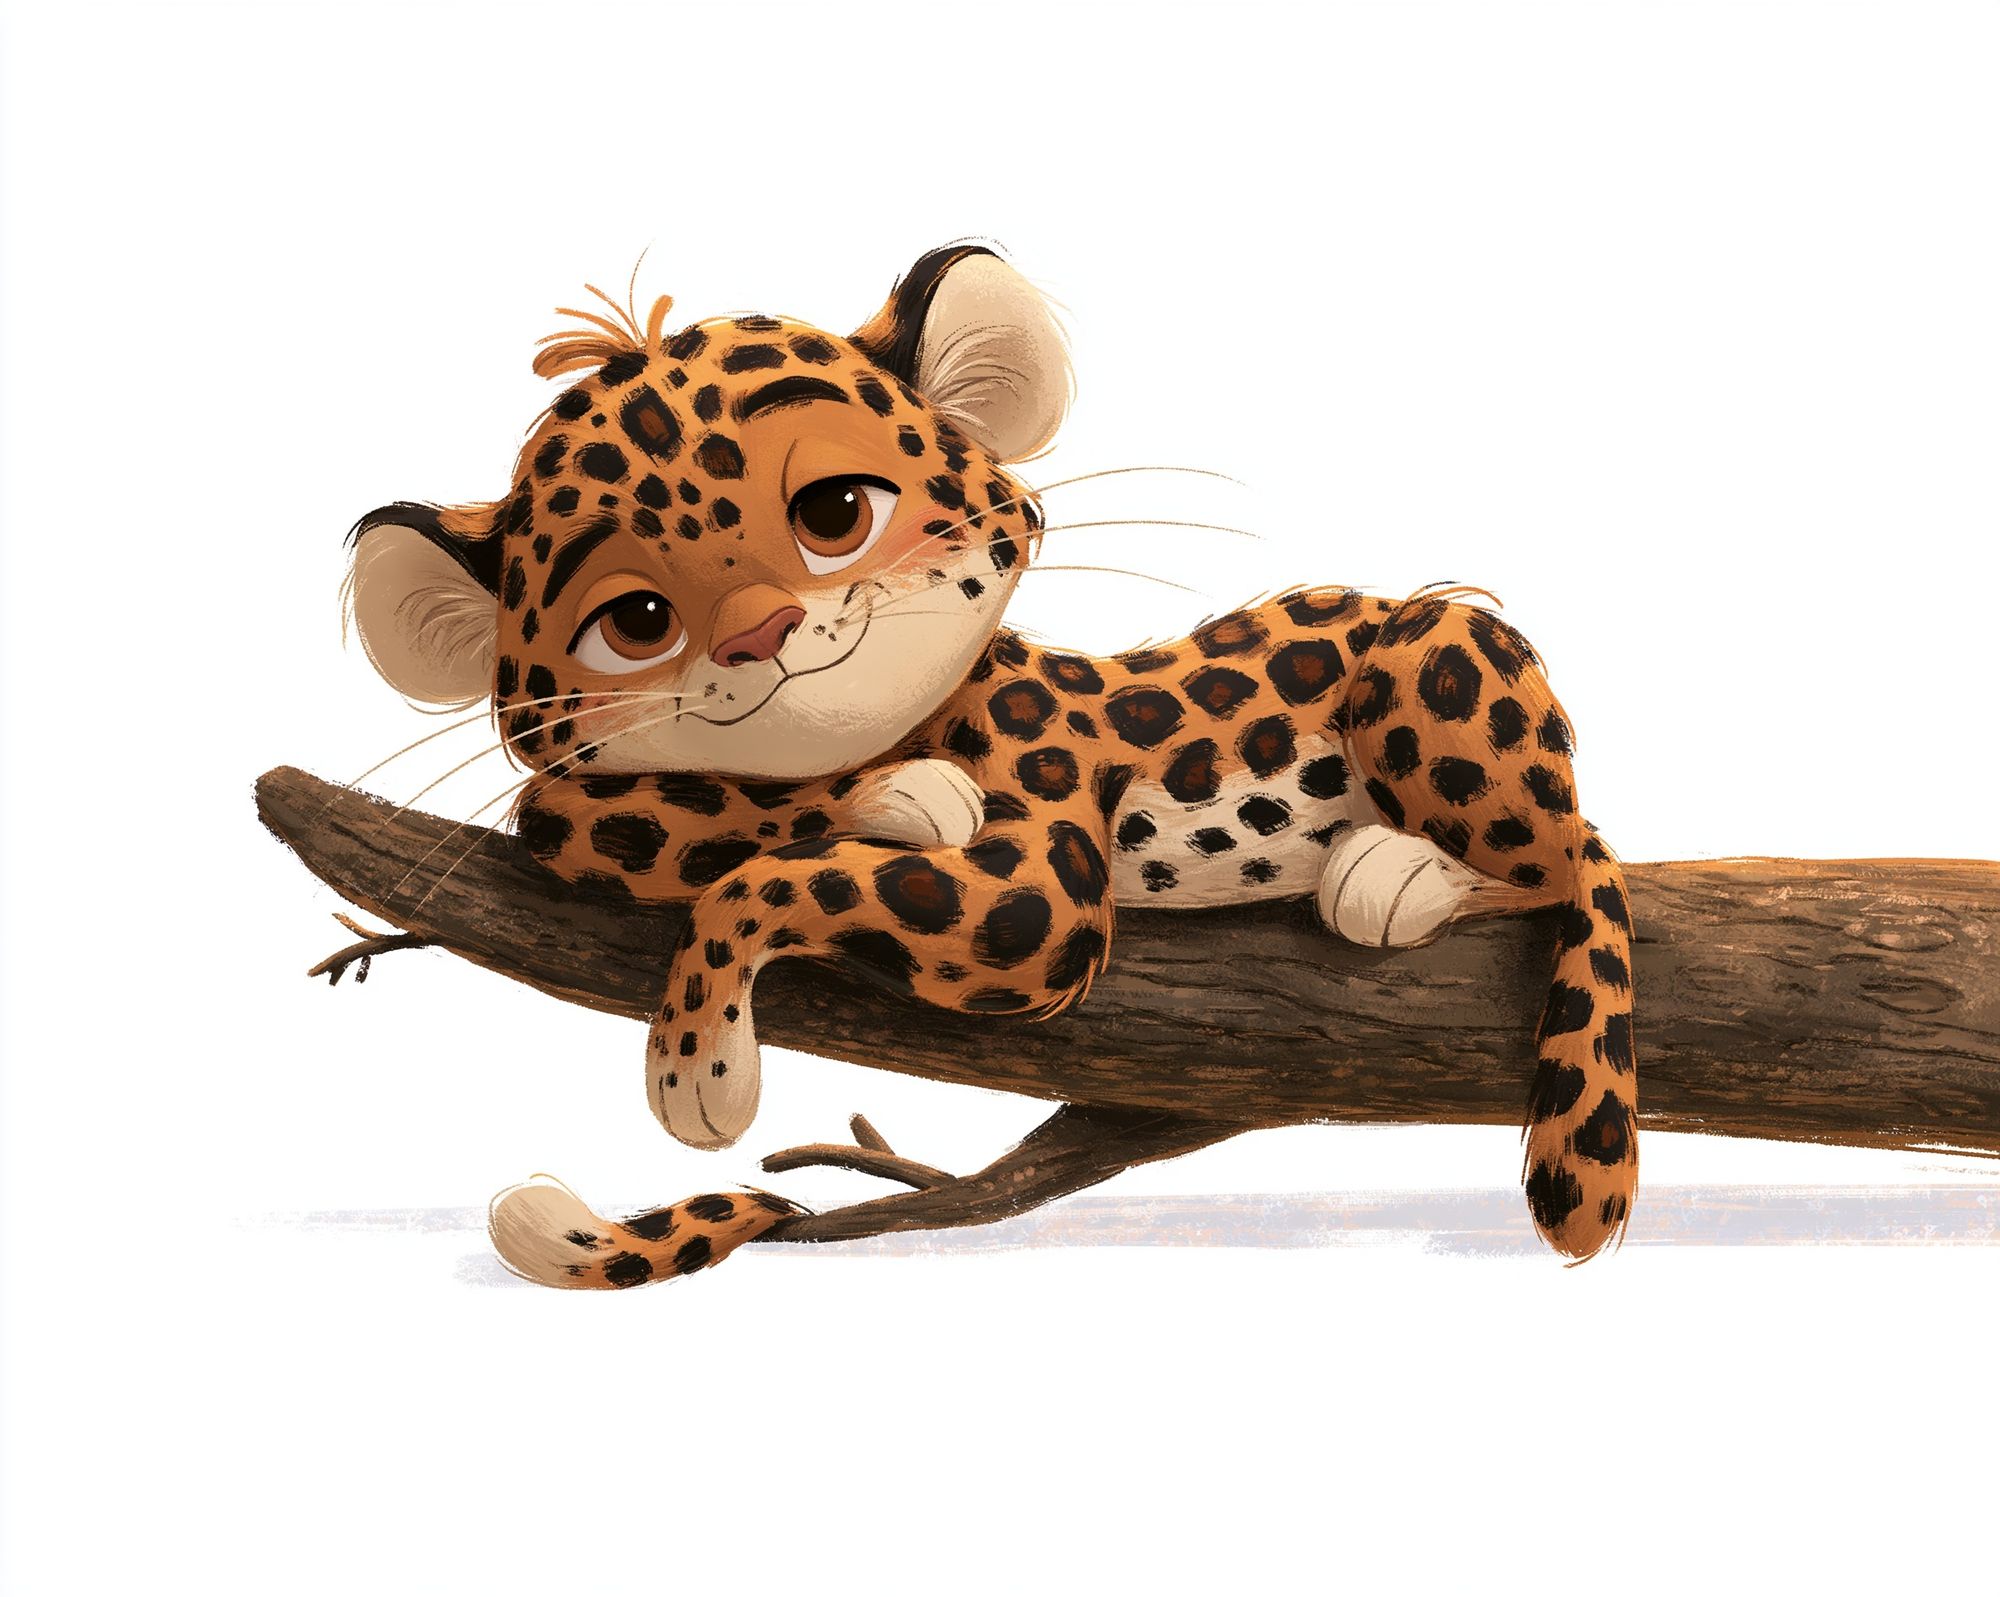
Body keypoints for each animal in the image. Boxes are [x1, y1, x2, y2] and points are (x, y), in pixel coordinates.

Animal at [344, 245, 1637, 1287]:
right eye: (636, 621)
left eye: (834, 510)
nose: (761, 636)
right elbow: (602, 811)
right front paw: (884, 796)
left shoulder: (1036, 897)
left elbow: (770, 876)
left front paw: (696, 1067)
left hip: (1436, 653)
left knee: (1565, 856)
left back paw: (1396, 873)